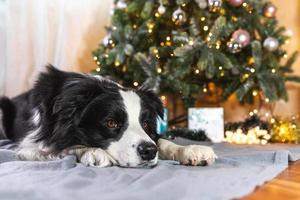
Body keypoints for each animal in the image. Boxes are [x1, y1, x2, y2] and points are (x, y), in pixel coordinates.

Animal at [0, 65, 217, 167]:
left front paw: (192, 150)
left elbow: (162, 141)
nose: (148, 152)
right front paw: (94, 152)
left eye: (147, 124)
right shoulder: (30, 145)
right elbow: (65, 146)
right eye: (111, 123)